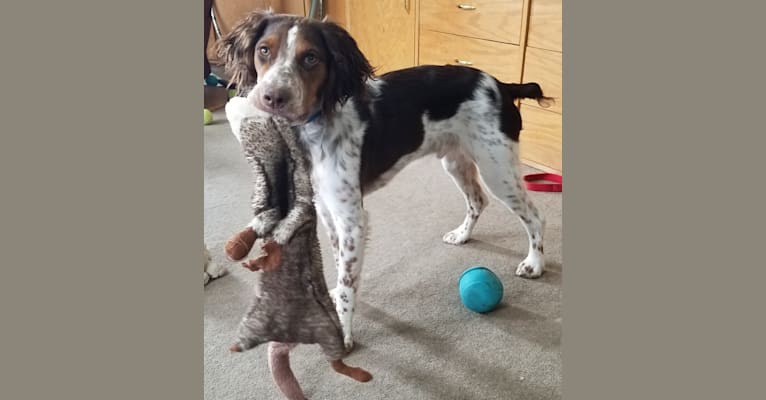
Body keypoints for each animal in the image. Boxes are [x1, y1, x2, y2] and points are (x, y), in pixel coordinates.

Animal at [219, 10, 556, 350]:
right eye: (264, 50)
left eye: (311, 57)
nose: (273, 97)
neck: (313, 128)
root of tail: (502, 85)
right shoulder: (326, 208)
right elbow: (340, 265)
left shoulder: (352, 218)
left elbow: (348, 282)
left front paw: (343, 333)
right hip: (456, 160)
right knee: (477, 200)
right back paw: (462, 235)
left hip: (496, 167)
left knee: (535, 216)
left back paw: (534, 264)